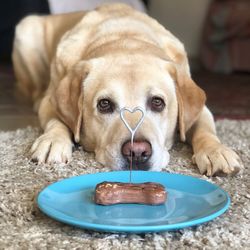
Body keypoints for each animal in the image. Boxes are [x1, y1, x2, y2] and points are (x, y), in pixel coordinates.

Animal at [12, 3, 241, 176]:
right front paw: (53, 141)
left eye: (157, 102)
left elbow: (205, 129)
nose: (137, 152)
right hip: (26, 28)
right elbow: (56, 121)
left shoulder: (200, 108)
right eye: (104, 104)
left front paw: (216, 151)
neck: (126, 38)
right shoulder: (50, 101)